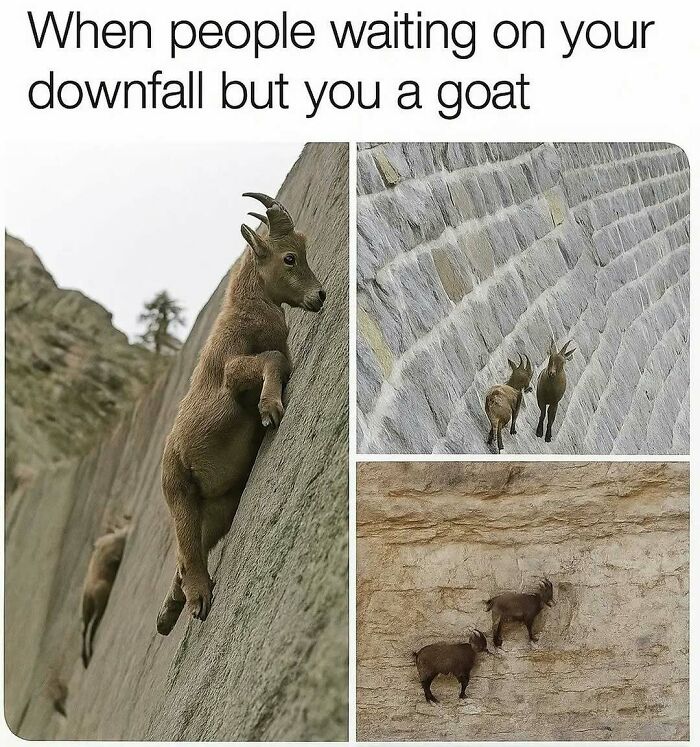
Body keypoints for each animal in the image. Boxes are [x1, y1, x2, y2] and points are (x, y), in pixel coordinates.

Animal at [81, 526, 129, 667]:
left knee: (85, 629)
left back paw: (86, 658)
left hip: (87, 609)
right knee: (91, 627)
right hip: (99, 604)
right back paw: (88, 654)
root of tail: (89, 592)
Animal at [156, 193, 325, 635]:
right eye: (289, 257)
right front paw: (270, 409)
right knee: (188, 552)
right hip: (180, 492)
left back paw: (168, 613)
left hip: (218, 507)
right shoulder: (233, 373)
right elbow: (270, 360)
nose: (320, 296)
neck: (246, 311)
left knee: (187, 556)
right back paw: (197, 600)